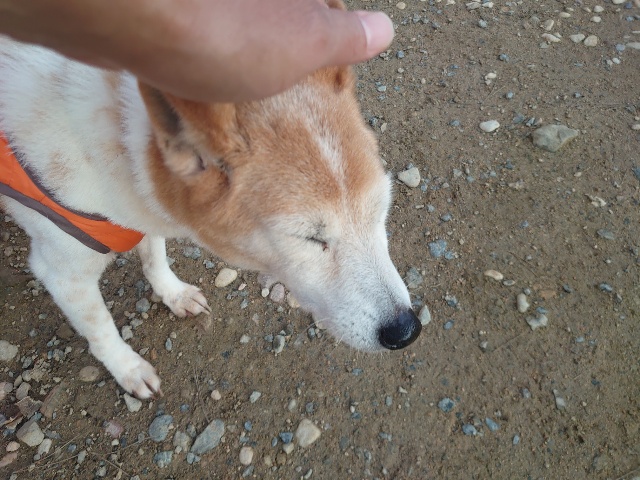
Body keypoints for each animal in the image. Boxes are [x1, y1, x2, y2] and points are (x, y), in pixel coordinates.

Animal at [0, 33, 422, 398]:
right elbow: (101, 329)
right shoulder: (63, 273)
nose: (406, 331)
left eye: (380, 210)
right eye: (309, 238)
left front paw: (173, 294)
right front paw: (129, 369)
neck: (113, 137)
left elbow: (154, 256)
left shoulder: (147, 210)